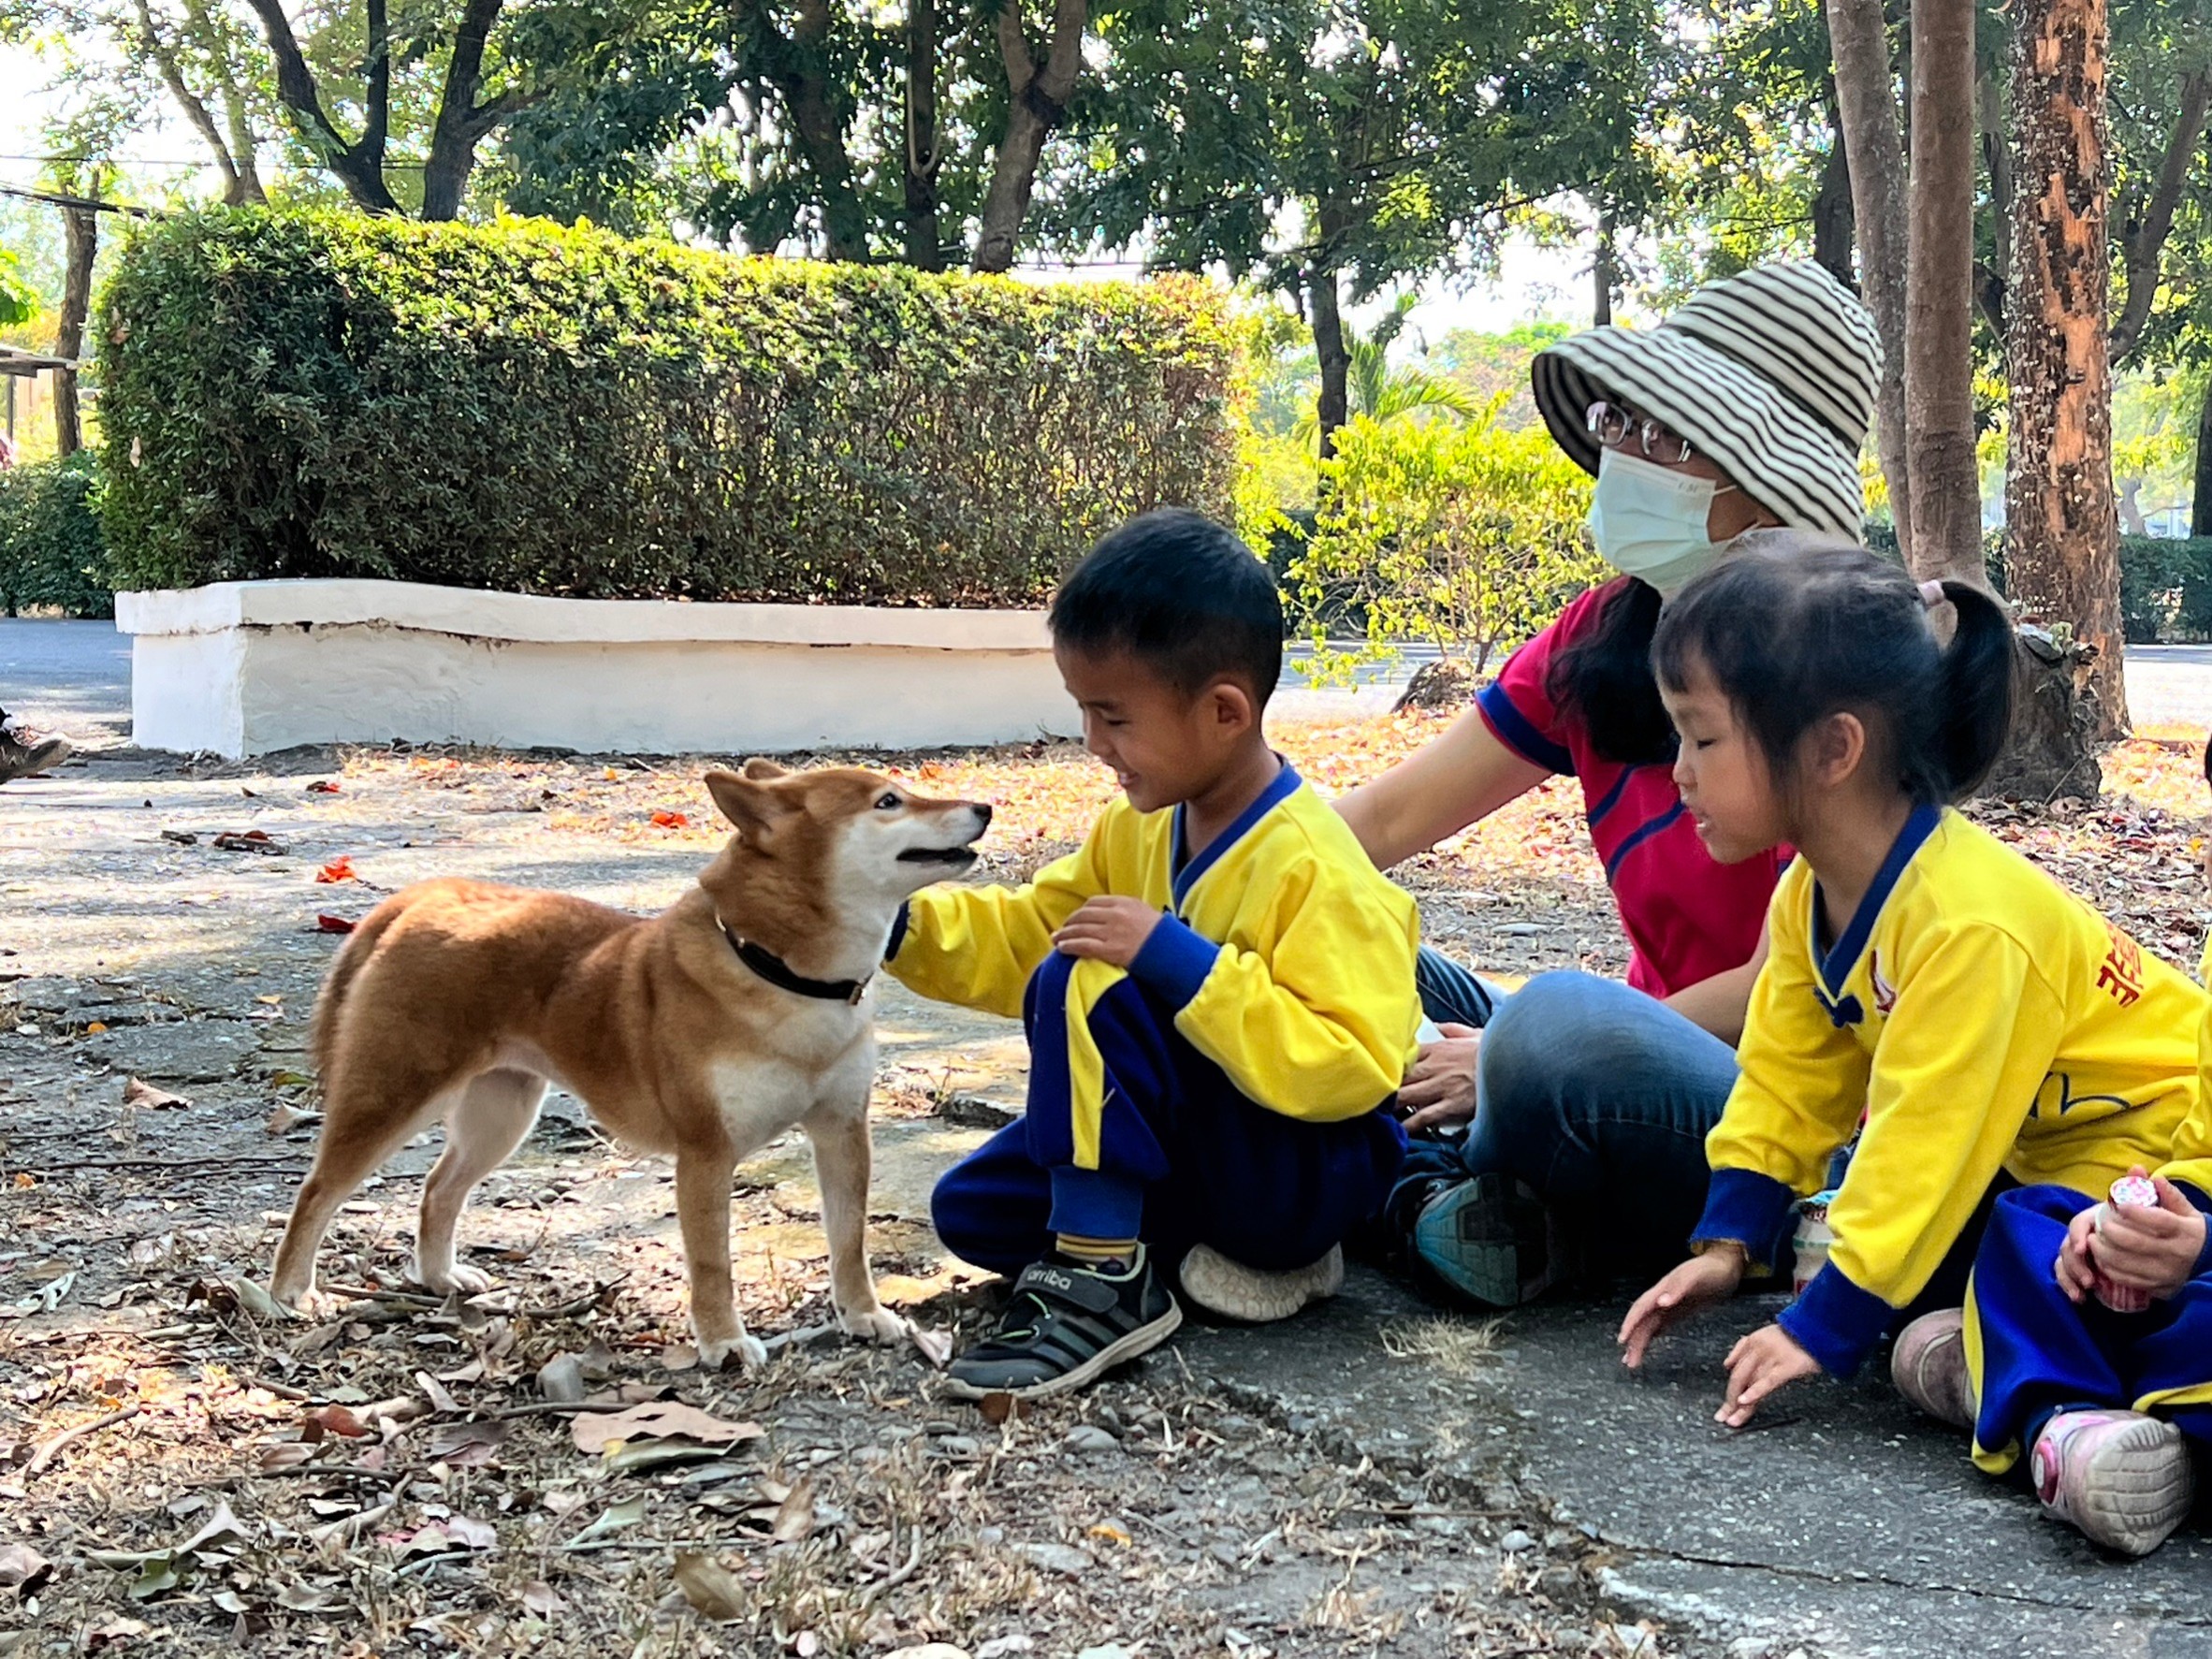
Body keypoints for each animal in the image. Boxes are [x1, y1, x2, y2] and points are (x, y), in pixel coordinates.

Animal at [265, 761, 986, 1371]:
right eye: (888, 801)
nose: (984, 804)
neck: (781, 973)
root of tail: (424, 897)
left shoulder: (840, 1130)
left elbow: (849, 1240)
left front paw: (864, 1315)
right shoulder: (706, 1153)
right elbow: (713, 1264)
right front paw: (723, 1342)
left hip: (502, 1113)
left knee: (439, 1189)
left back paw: (441, 1276)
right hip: (393, 1097)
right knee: (317, 1193)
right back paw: (290, 1293)